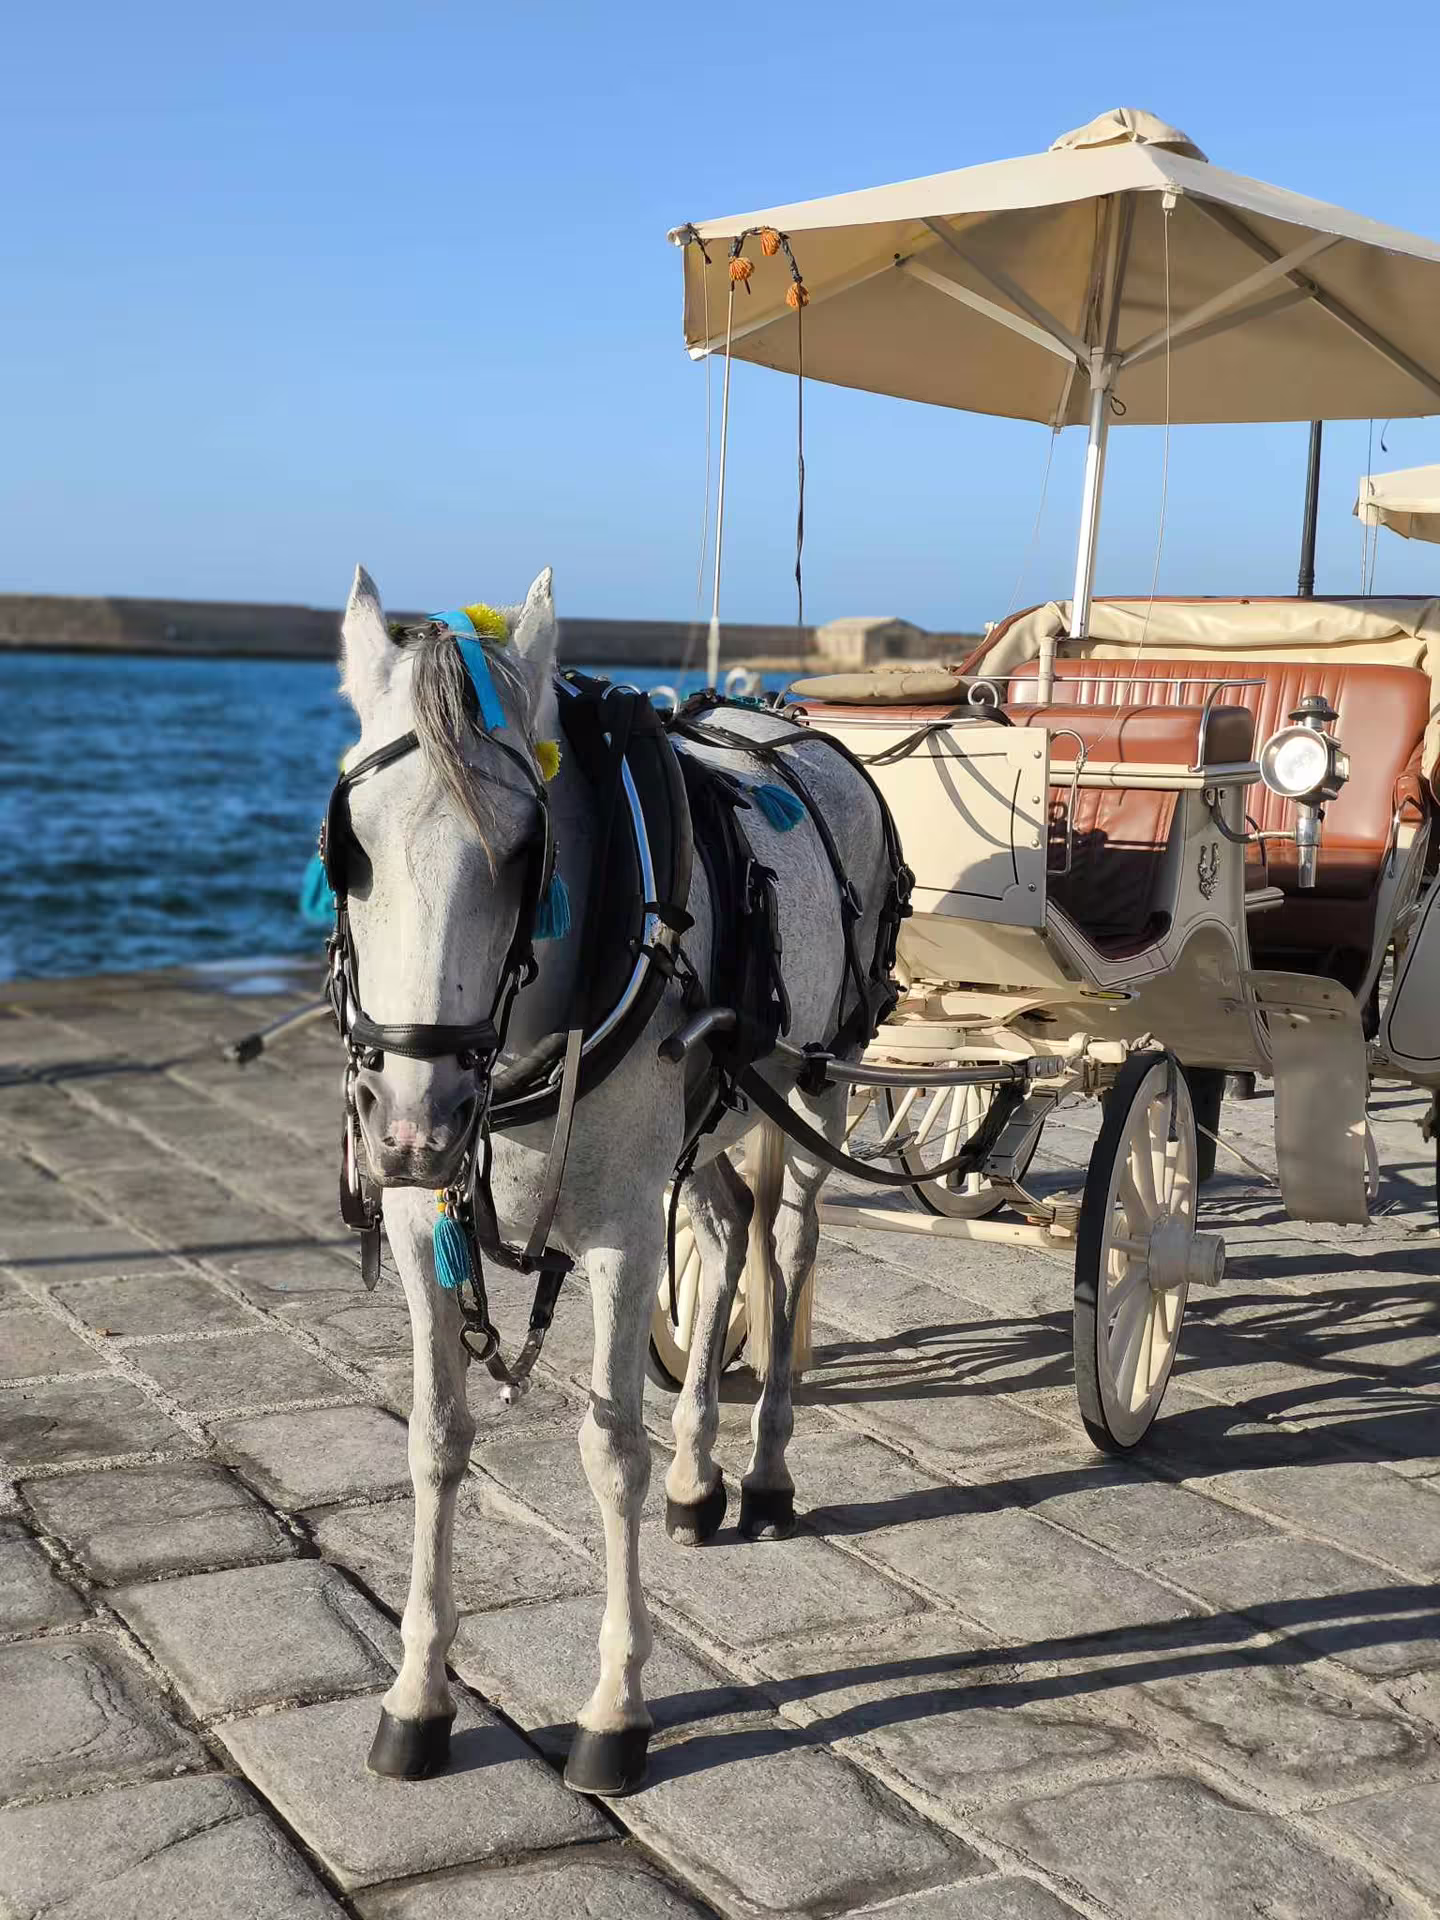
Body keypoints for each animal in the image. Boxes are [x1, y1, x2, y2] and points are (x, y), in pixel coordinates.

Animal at [333, 563, 891, 1796]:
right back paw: (700, 1476)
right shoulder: (419, 1224)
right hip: (705, 1127)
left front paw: (616, 1711)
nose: (415, 1126)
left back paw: (764, 1471)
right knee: (724, 1236)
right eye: (349, 851)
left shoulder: (624, 1235)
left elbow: (607, 1451)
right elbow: (434, 1439)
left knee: (787, 1245)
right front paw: (417, 1695)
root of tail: (793, 726)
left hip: (816, 1089)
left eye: (521, 854)